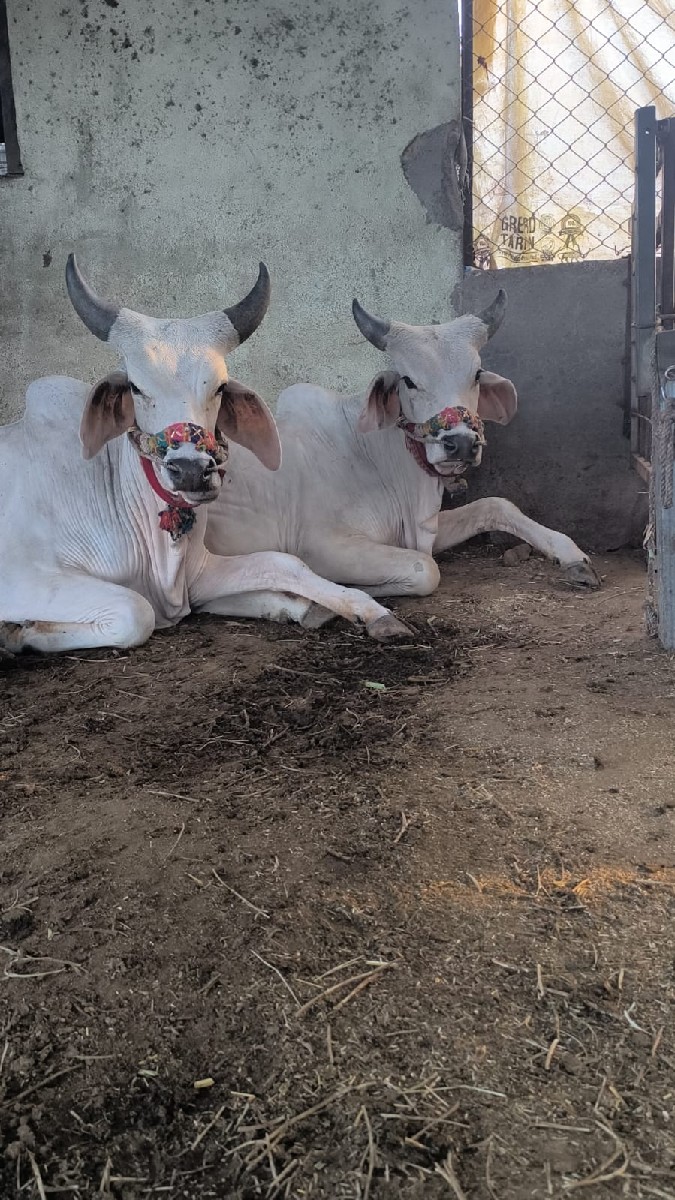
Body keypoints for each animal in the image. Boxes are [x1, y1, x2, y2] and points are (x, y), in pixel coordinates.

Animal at [0, 257, 413, 655]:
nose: (190, 471)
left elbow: (285, 563)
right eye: (136, 387)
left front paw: (369, 611)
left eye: (219, 386)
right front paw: (21, 632)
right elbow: (134, 610)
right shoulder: (21, 577)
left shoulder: (196, 575)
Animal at [205, 290, 600, 599]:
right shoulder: (321, 544)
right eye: (409, 381)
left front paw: (572, 556)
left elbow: (496, 505)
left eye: (475, 374)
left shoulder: (422, 527)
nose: (460, 443)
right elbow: (426, 569)